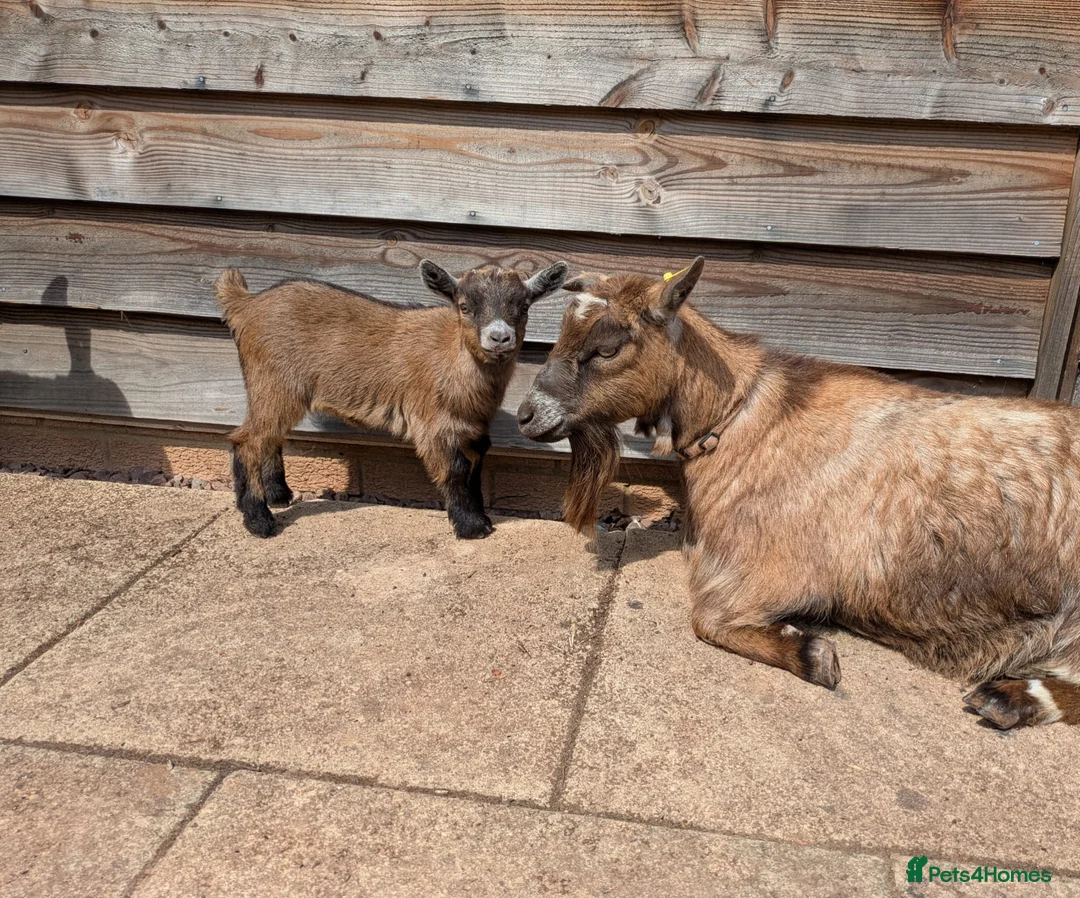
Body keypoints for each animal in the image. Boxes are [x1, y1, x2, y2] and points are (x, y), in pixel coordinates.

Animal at [216, 260, 568, 539]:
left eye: (524, 307)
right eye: (465, 306)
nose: (499, 337)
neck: (455, 359)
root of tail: (246, 305)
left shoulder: (473, 426)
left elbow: (476, 466)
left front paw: (480, 516)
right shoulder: (433, 423)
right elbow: (455, 469)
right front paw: (471, 527)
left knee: (269, 437)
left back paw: (279, 496)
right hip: (274, 383)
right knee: (247, 441)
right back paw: (260, 521)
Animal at [517, 256, 1080, 728]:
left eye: (607, 348)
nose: (526, 415)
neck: (743, 420)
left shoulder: (775, 569)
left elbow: (706, 618)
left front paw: (813, 653)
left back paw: (1009, 696)